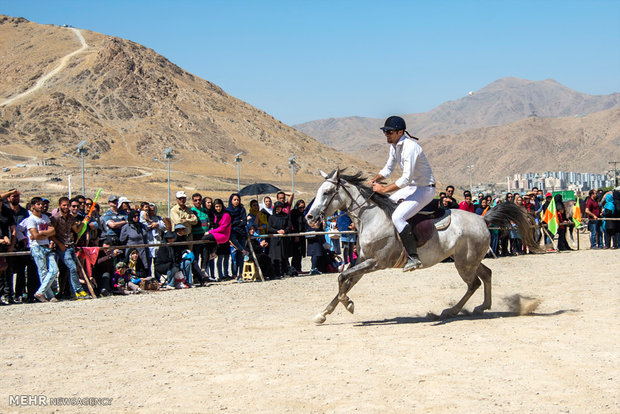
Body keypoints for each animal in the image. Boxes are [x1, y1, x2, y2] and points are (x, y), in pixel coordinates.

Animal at [306, 170, 544, 326]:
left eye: (327, 192)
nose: (310, 217)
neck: (371, 217)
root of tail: (483, 220)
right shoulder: (362, 262)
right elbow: (346, 281)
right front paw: (324, 313)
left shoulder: (376, 262)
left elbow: (342, 278)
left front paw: (348, 304)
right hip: (469, 259)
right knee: (486, 274)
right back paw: (481, 306)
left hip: (464, 263)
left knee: (474, 283)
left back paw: (451, 311)